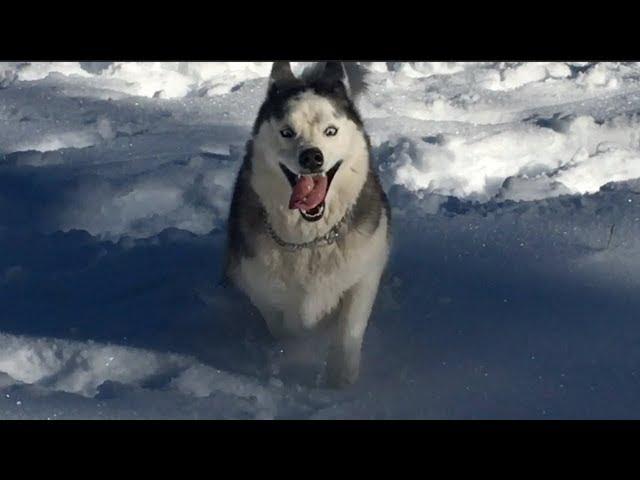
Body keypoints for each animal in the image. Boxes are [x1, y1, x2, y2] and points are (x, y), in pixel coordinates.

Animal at [222, 62, 392, 388]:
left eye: (331, 131)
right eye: (287, 132)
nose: (312, 156)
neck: (311, 240)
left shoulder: (365, 269)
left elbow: (349, 327)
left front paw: (341, 380)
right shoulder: (257, 280)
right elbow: (286, 325)